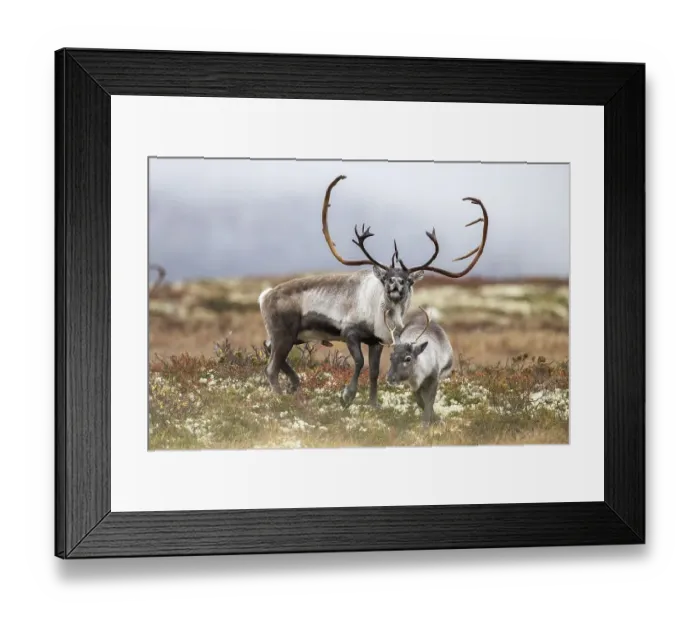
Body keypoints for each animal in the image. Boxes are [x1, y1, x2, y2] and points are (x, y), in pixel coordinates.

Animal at [258, 174, 489, 407]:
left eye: (408, 280)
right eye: (386, 277)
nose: (395, 282)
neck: (383, 313)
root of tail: (265, 295)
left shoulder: (376, 342)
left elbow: (374, 372)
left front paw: (374, 404)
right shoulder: (350, 333)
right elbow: (359, 362)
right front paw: (347, 395)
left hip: (294, 336)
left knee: (268, 348)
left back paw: (294, 383)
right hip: (284, 334)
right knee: (270, 367)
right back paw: (280, 396)